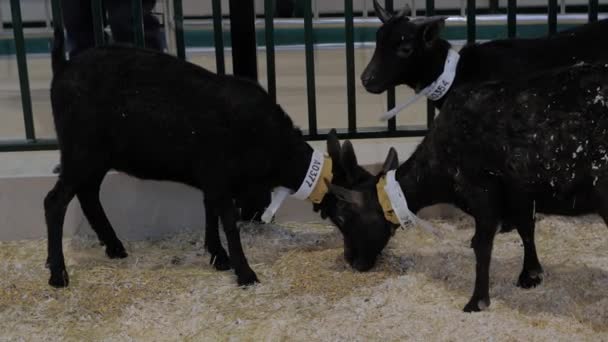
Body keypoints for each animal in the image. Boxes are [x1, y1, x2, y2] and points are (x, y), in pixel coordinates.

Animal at [45, 26, 350, 288]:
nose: (354, 258)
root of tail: (62, 66)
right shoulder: (219, 176)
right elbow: (228, 221)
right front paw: (244, 272)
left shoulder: (212, 180)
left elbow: (210, 211)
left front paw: (218, 257)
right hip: (81, 152)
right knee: (55, 202)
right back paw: (58, 273)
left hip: (95, 158)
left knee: (87, 195)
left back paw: (114, 247)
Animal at [328, 61, 608, 312]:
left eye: (342, 218)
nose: (351, 260)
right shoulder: (519, 193)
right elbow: (526, 229)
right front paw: (530, 274)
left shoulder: (480, 191)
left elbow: (481, 245)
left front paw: (477, 301)